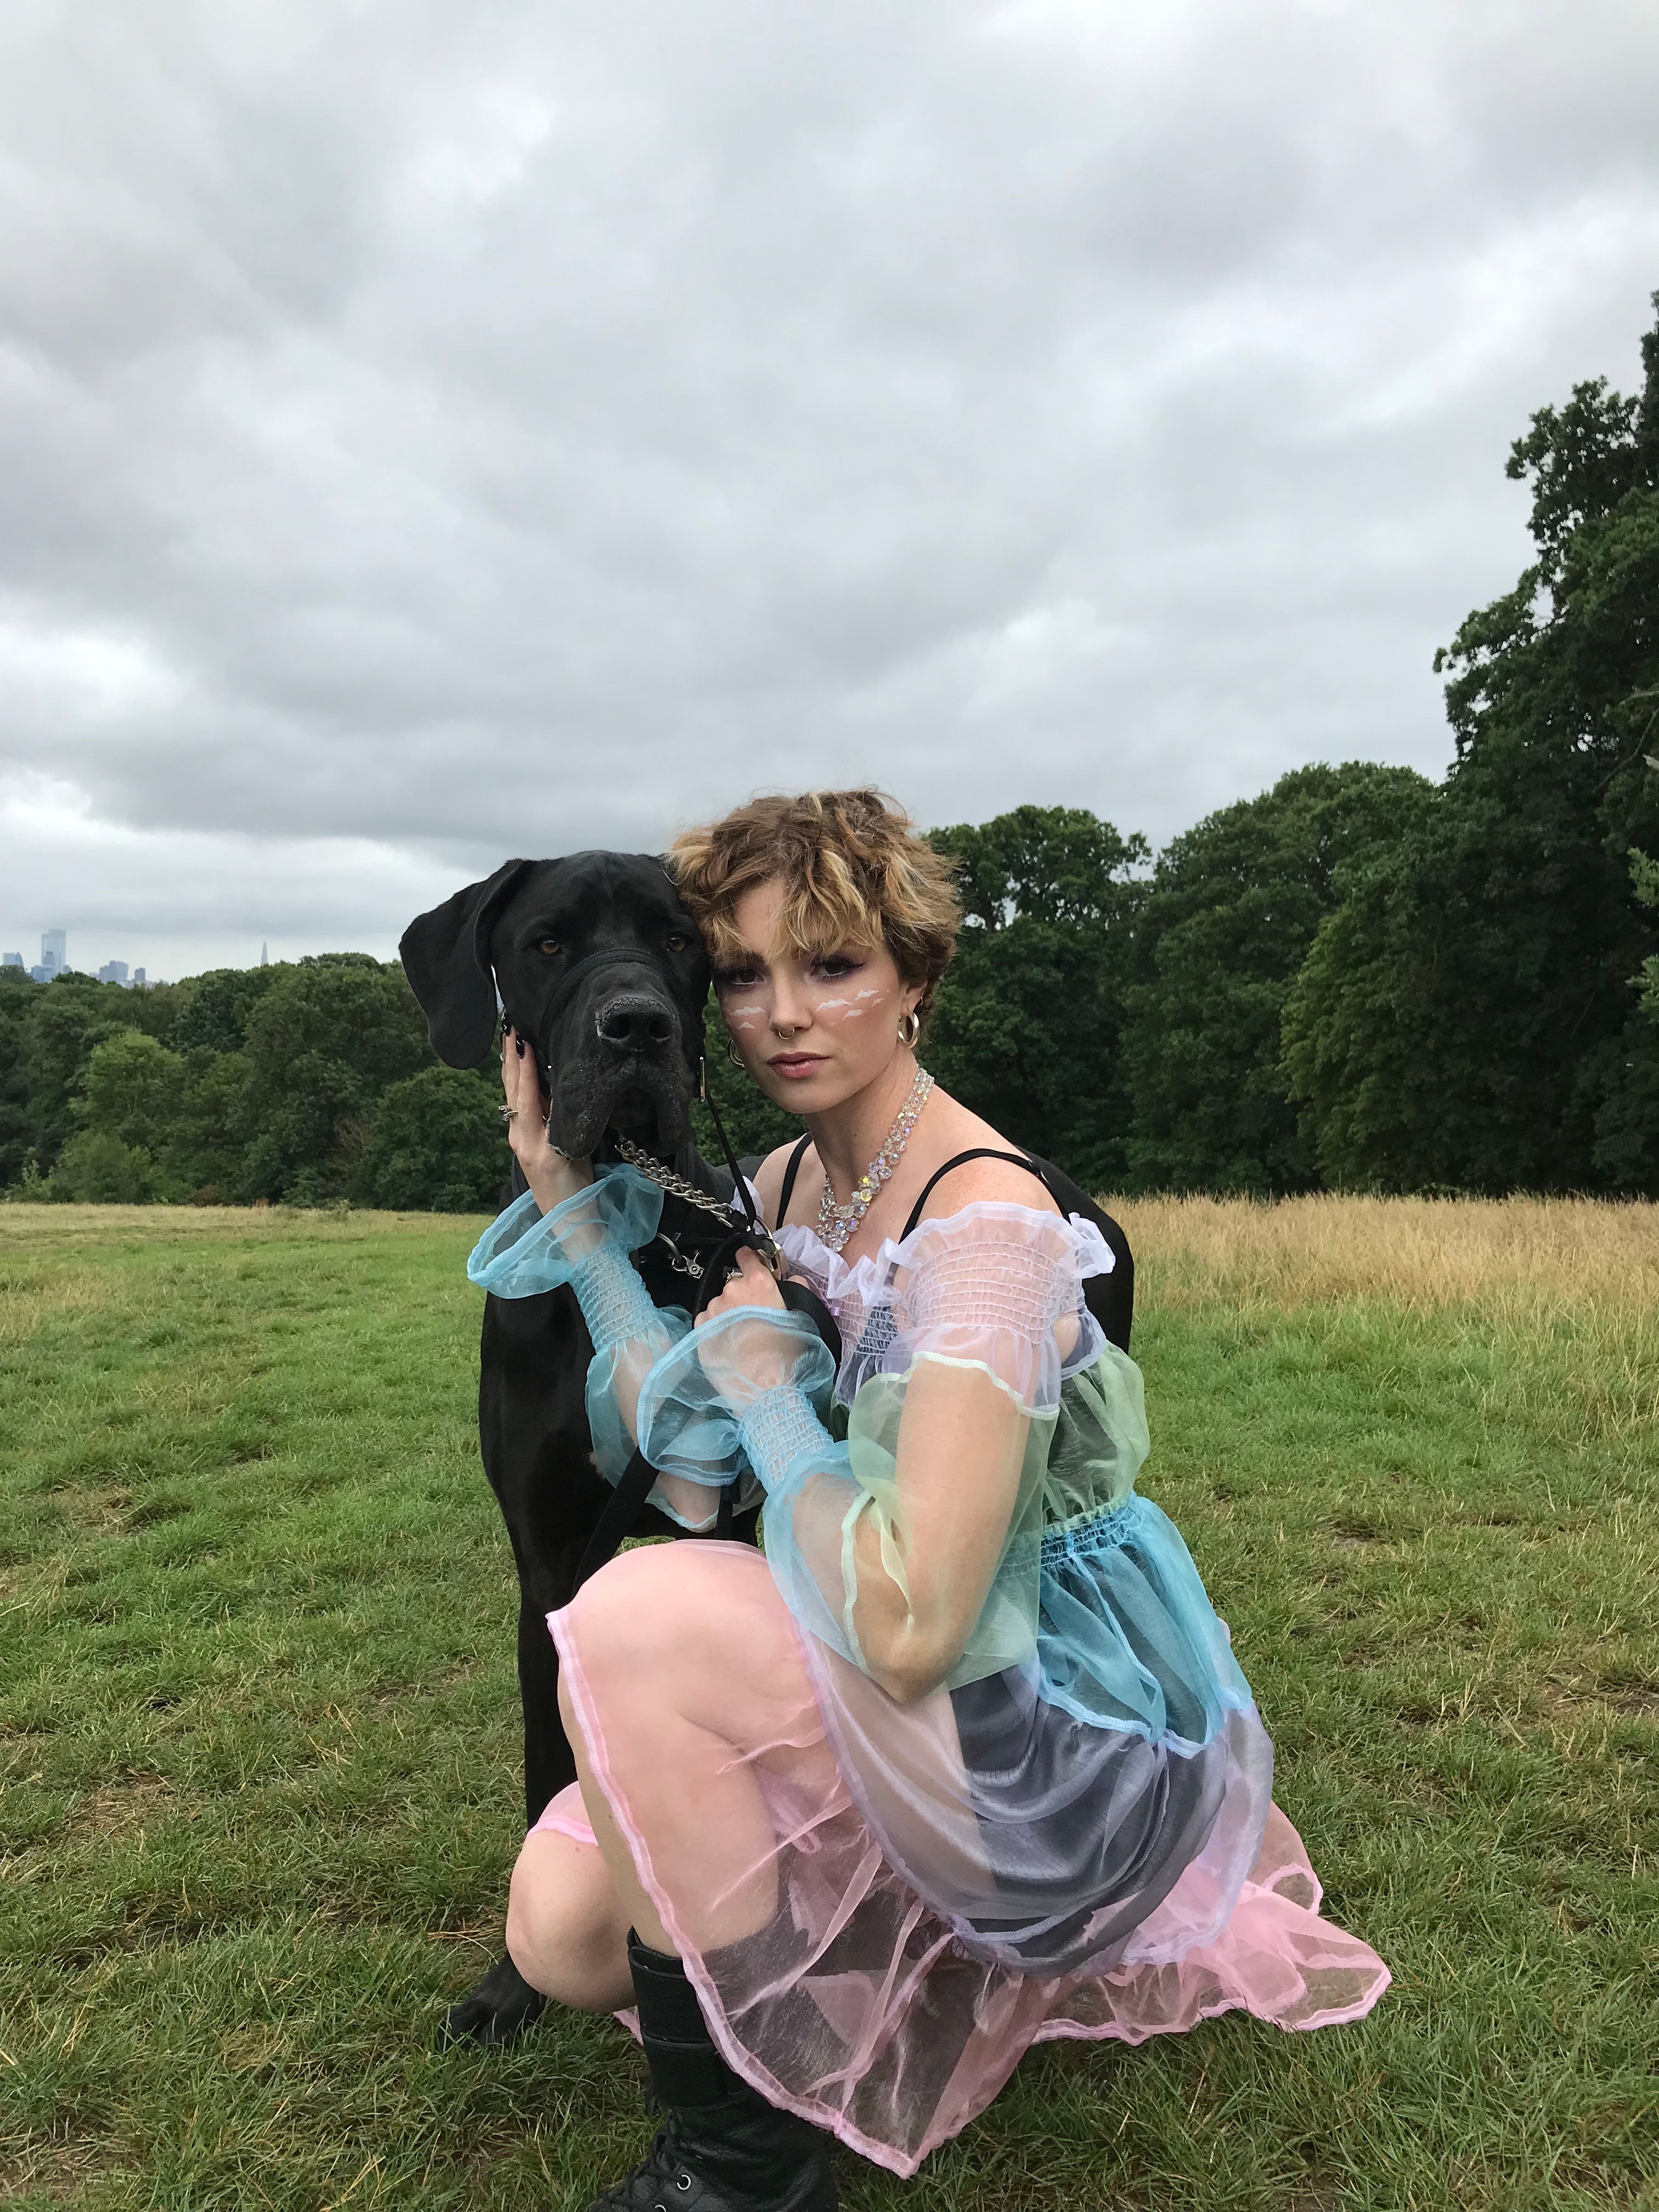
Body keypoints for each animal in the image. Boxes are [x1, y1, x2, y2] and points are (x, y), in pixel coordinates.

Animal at [402, 849, 765, 2035]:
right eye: (549, 941)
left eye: (680, 941)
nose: (636, 1026)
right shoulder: (548, 1564)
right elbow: (542, 1768)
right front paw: (510, 1988)